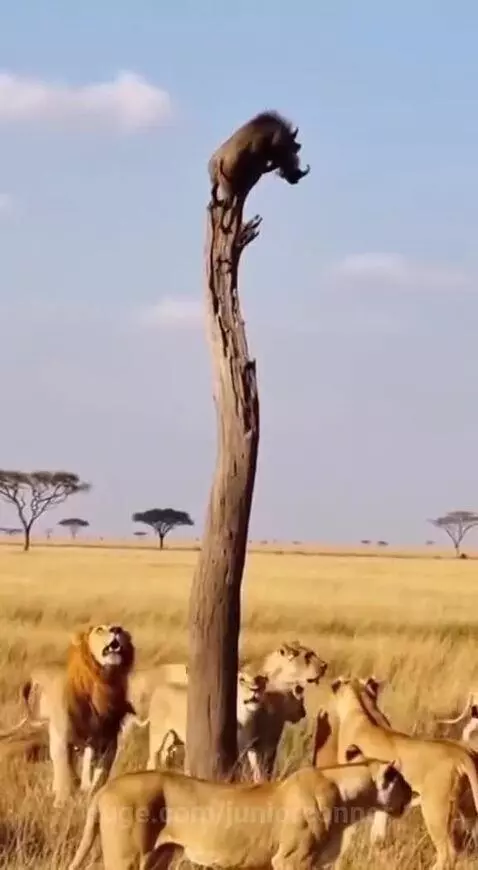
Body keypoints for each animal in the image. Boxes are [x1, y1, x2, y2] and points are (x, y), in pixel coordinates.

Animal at [0, 624, 135, 807]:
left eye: (120, 628)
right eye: (100, 630)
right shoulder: (62, 737)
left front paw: (93, 794)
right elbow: (64, 772)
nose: (116, 630)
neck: (102, 680)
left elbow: (101, 774)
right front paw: (61, 802)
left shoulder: (108, 740)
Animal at [67, 746, 412, 870]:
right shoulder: (291, 859)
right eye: (404, 783)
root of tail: (105, 788)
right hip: (127, 857)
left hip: (157, 858)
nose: (412, 795)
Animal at [330, 676, 478, 869]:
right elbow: (378, 829)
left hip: (435, 809)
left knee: (448, 853)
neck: (361, 706)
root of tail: (462, 753)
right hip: (468, 807)